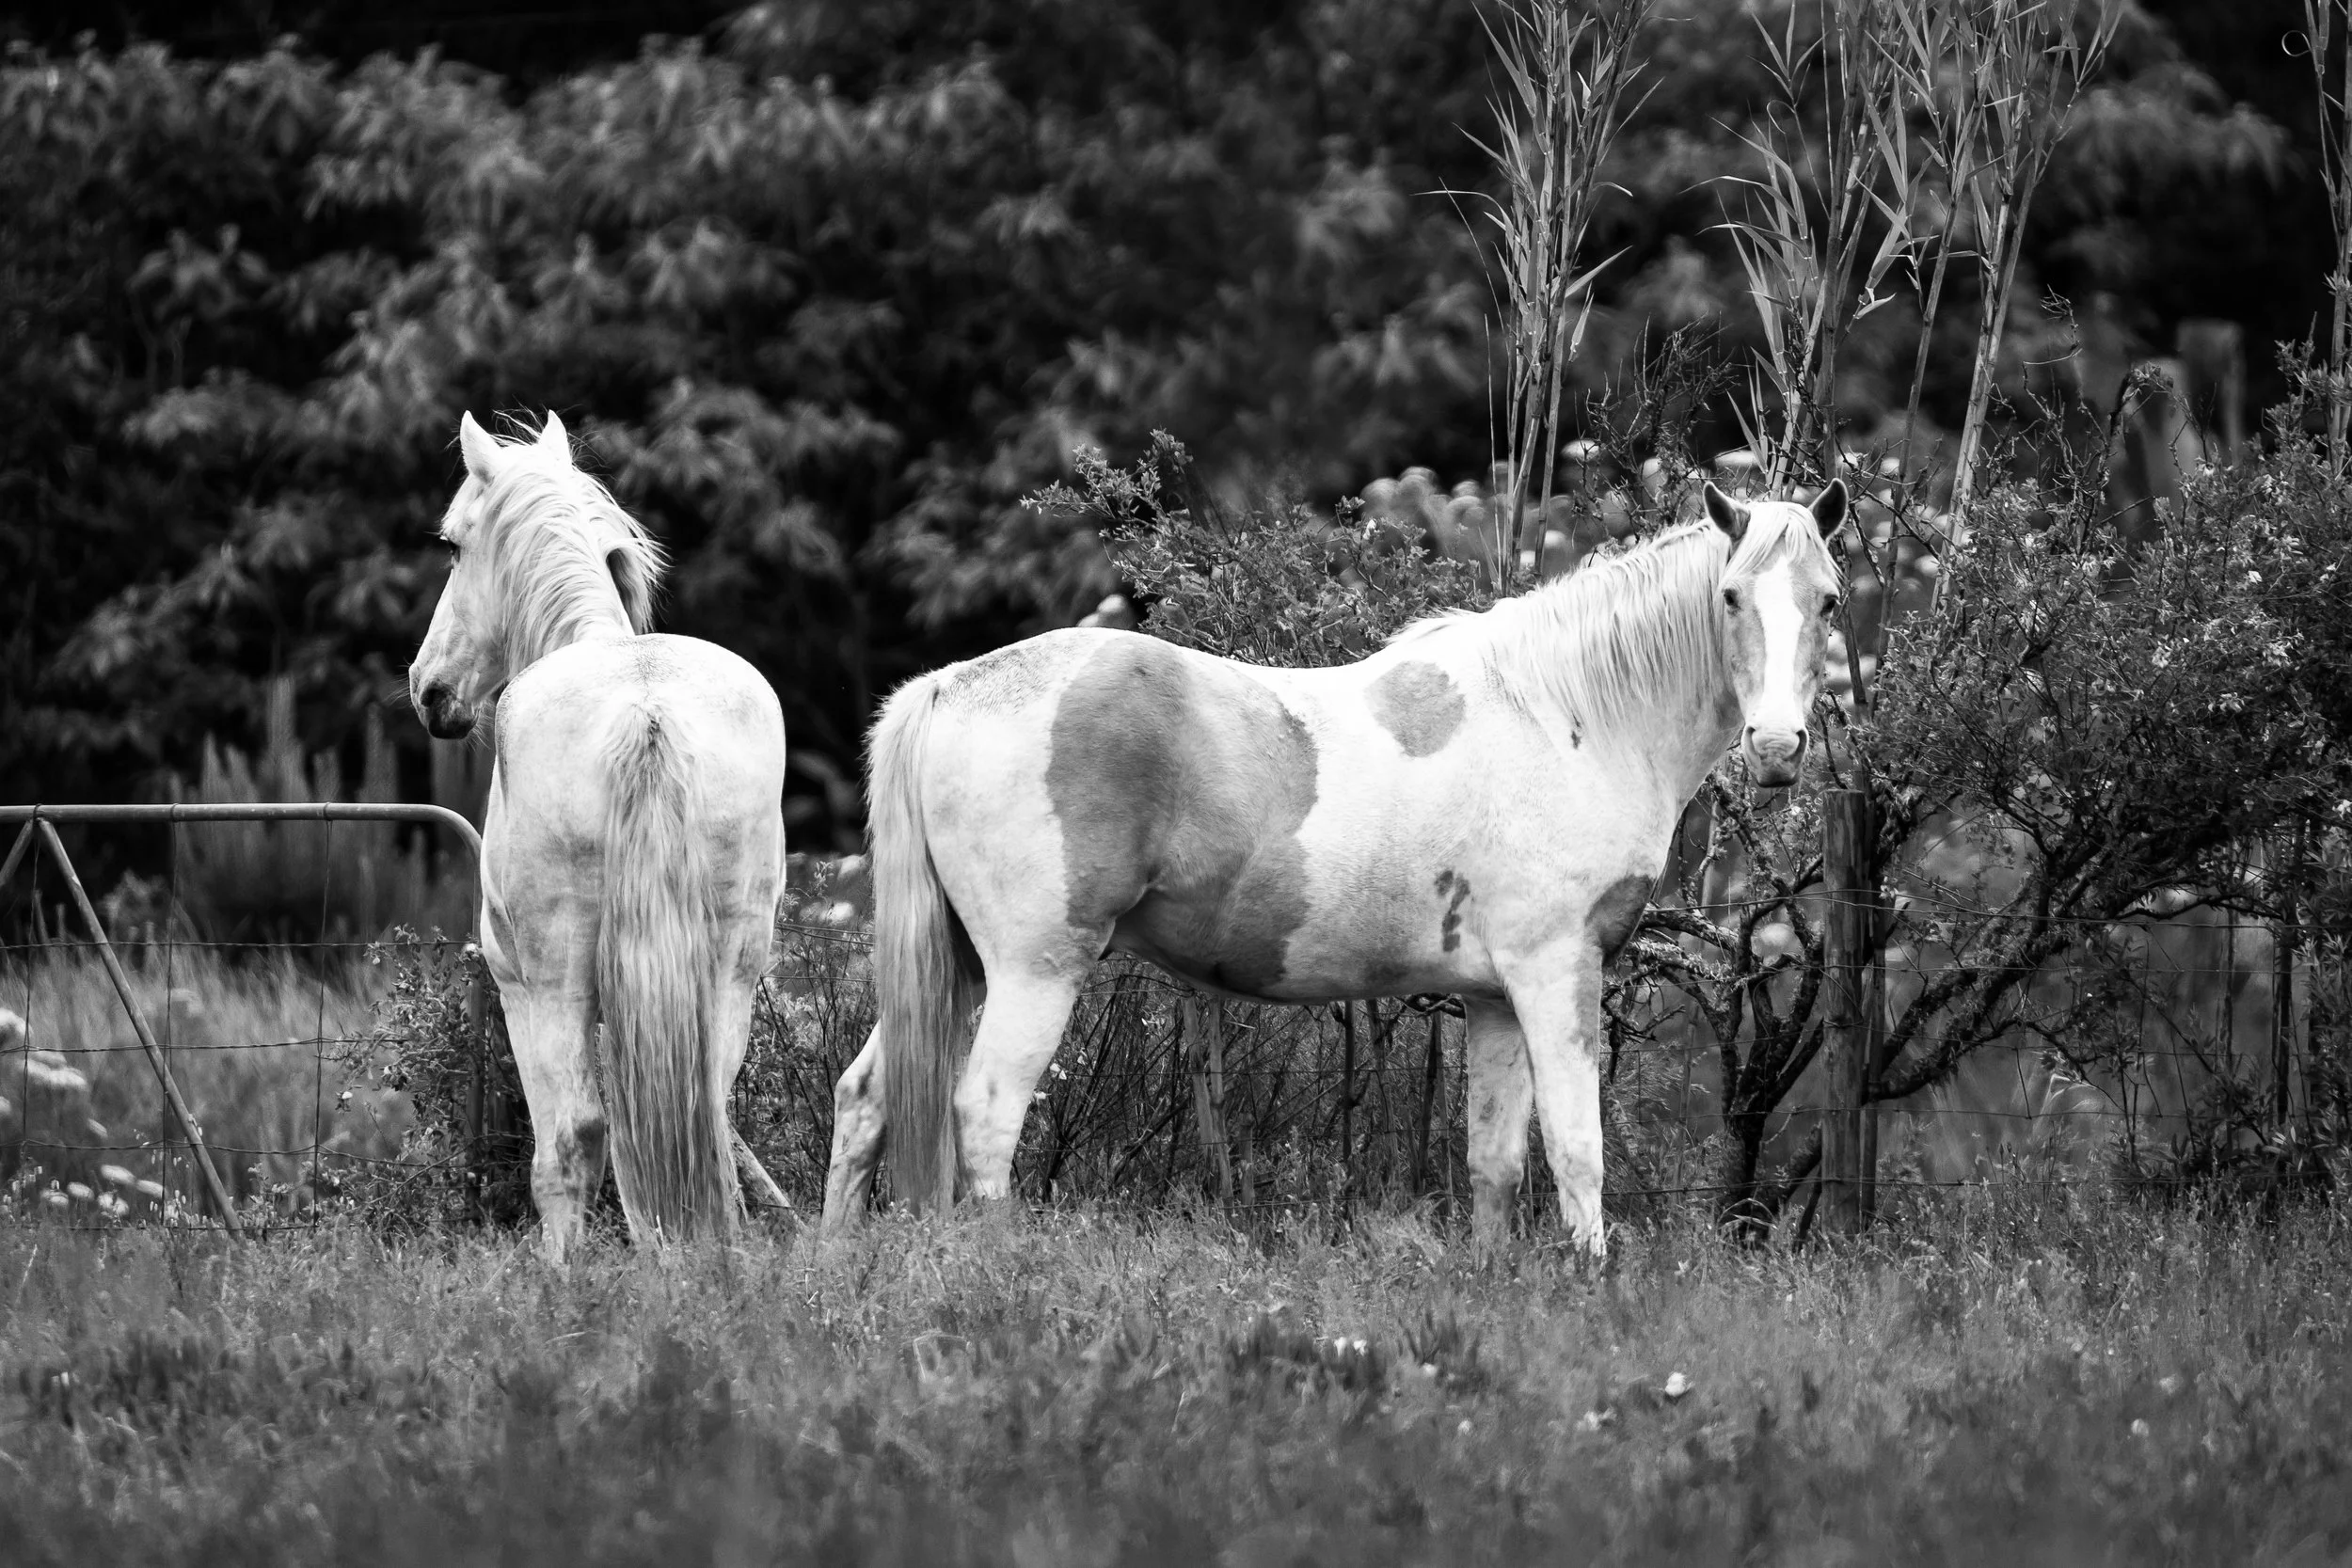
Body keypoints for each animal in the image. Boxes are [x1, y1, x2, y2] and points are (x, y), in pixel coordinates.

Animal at [408, 411, 791, 1261]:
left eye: (452, 545)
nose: (428, 689)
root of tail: (646, 712)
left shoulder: (516, 982)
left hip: (551, 979)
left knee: (575, 1138)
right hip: (731, 967)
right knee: (706, 1117)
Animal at [820, 479, 1846, 1255]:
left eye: (1829, 599)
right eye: (1730, 597)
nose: (1778, 745)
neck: (1568, 713)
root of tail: (950, 685)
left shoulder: (1493, 995)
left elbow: (1495, 1161)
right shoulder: (1556, 970)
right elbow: (1576, 1145)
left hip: (957, 966)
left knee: (865, 1098)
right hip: (1034, 970)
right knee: (987, 1111)